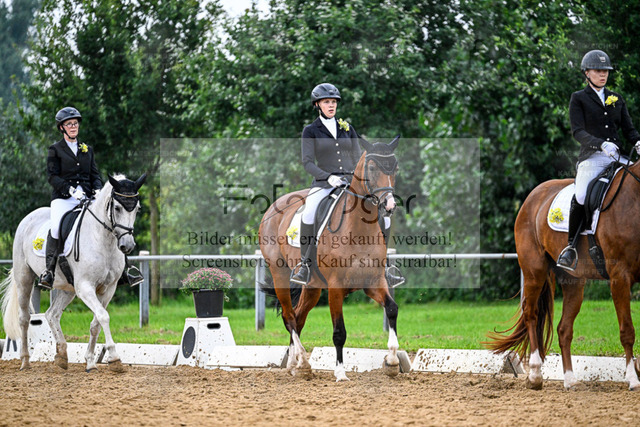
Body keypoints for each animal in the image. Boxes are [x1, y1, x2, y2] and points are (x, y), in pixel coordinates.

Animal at [1, 173, 146, 372]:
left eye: (137, 209)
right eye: (117, 207)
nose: (127, 246)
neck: (102, 240)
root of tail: (29, 217)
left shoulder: (108, 289)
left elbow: (96, 323)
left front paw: (91, 362)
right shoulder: (85, 287)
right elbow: (103, 316)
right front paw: (114, 358)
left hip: (67, 288)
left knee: (52, 314)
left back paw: (61, 355)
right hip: (25, 279)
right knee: (24, 318)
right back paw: (25, 361)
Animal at [259, 136, 401, 381]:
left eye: (395, 168)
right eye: (372, 168)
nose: (389, 205)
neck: (358, 230)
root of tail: (273, 207)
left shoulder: (373, 282)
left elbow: (391, 308)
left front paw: (391, 361)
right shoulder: (336, 287)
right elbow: (339, 332)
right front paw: (341, 373)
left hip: (312, 287)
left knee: (298, 317)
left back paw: (295, 364)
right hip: (280, 275)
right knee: (289, 316)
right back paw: (303, 362)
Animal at [486, 161, 640, 390]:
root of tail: (533, 196)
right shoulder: (619, 277)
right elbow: (627, 331)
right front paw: (633, 379)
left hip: (573, 282)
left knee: (563, 329)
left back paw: (570, 380)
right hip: (534, 272)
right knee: (531, 313)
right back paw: (535, 375)